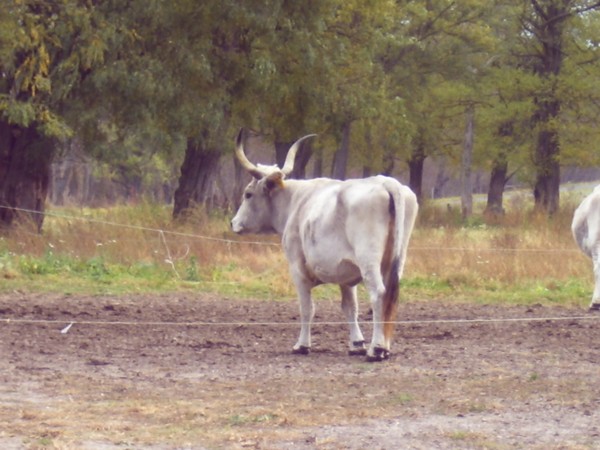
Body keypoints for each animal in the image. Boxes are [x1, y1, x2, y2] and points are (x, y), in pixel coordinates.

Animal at [230, 128, 418, 360]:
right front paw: (356, 344)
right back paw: (385, 346)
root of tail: (386, 182)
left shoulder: (297, 269)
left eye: (248, 194)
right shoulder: (346, 273)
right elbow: (349, 307)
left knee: (379, 294)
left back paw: (377, 349)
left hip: (369, 261)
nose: (233, 223)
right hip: (396, 261)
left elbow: (307, 308)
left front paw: (302, 345)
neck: (296, 202)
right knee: (392, 295)